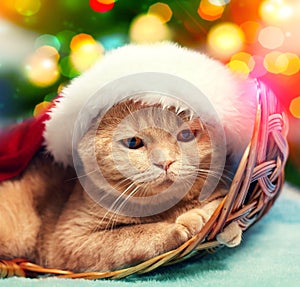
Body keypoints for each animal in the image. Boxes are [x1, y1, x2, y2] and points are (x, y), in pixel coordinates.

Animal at [0, 98, 243, 274]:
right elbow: (132, 235)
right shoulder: (69, 238)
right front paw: (183, 225)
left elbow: (218, 206)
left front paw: (214, 223)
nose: (165, 162)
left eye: (185, 134)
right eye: (134, 142)